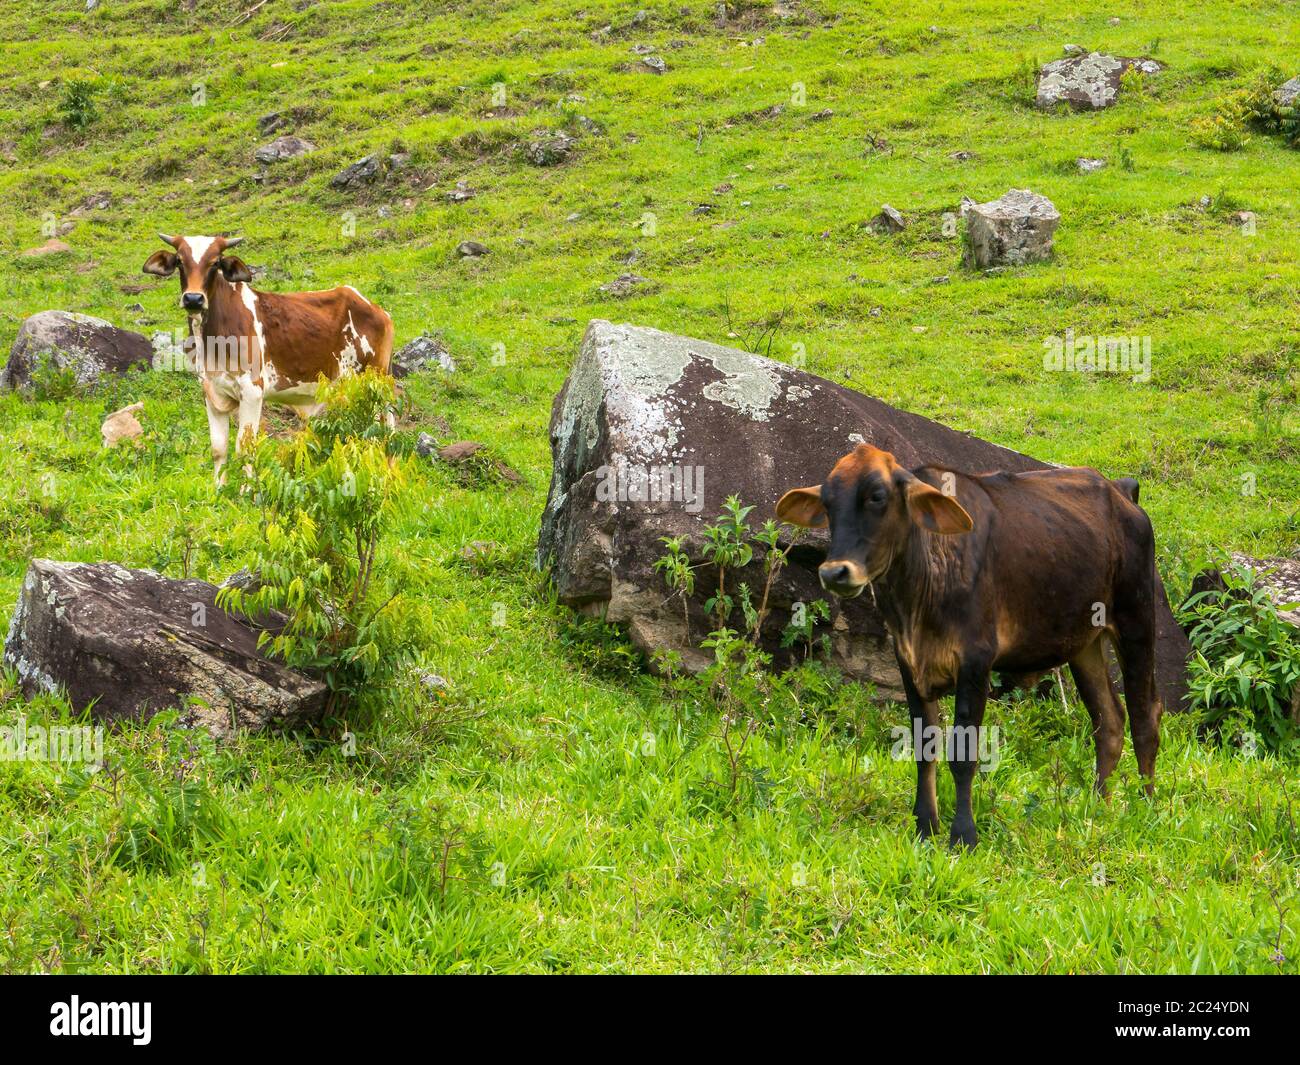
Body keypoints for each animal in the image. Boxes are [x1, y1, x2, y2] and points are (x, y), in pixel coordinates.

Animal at [143, 233, 394, 483]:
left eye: (215, 263)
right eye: (180, 261)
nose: (193, 299)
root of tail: (377, 310)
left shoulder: (252, 391)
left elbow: (245, 448)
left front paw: (248, 490)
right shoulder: (212, 392)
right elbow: (218, 448)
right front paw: (219, 490)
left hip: (373, 385)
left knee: (380, 430)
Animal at [776, 444, 1160, 849]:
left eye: (877, 497)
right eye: (828, 503)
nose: (834, 572)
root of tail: (1120, 489)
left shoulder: (976, 660)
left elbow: (963, 753)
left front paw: (963, 836)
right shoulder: (907, 661)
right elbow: (924, 747)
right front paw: (925, 827)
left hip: (1136, 618)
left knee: (1145, 716)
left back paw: (1146, 805)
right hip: (1085, 643)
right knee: (1109, 720)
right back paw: (1098, 806)